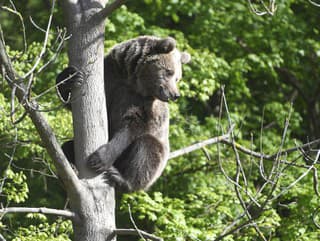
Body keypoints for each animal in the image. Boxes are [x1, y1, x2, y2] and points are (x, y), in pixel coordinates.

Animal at [56, 35, 190, 193]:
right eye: (169, 72)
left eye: (177, 78)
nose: (175, 95)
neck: (132, 80)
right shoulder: (109, 79)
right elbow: (71, 101)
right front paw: (71, 78)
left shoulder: (144, 104)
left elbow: (133, 126)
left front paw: (99, 159)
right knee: (67, 146)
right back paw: (71, 167)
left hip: (156, 159)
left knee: (147, 149)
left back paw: (121, 178)